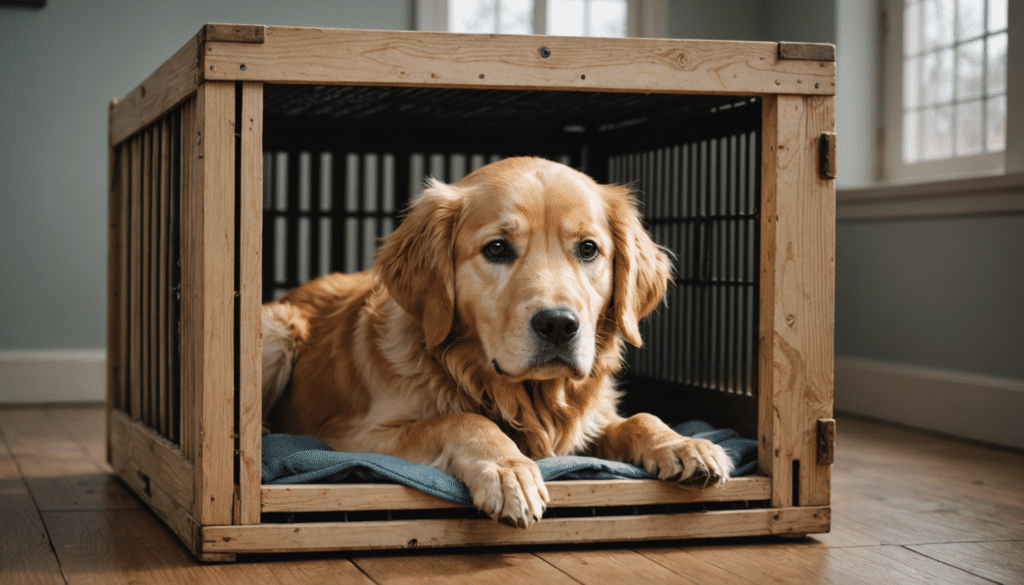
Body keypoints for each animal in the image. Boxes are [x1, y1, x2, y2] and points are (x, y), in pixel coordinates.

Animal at [260, 154, 733, 524]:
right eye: (497, 248)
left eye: (588, 249)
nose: (558, 324)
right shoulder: (353, 438)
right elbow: (460, 420)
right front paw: (508, 470)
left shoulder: (587, 424)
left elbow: (639, 418)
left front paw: (683, 444)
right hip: (277, 332)